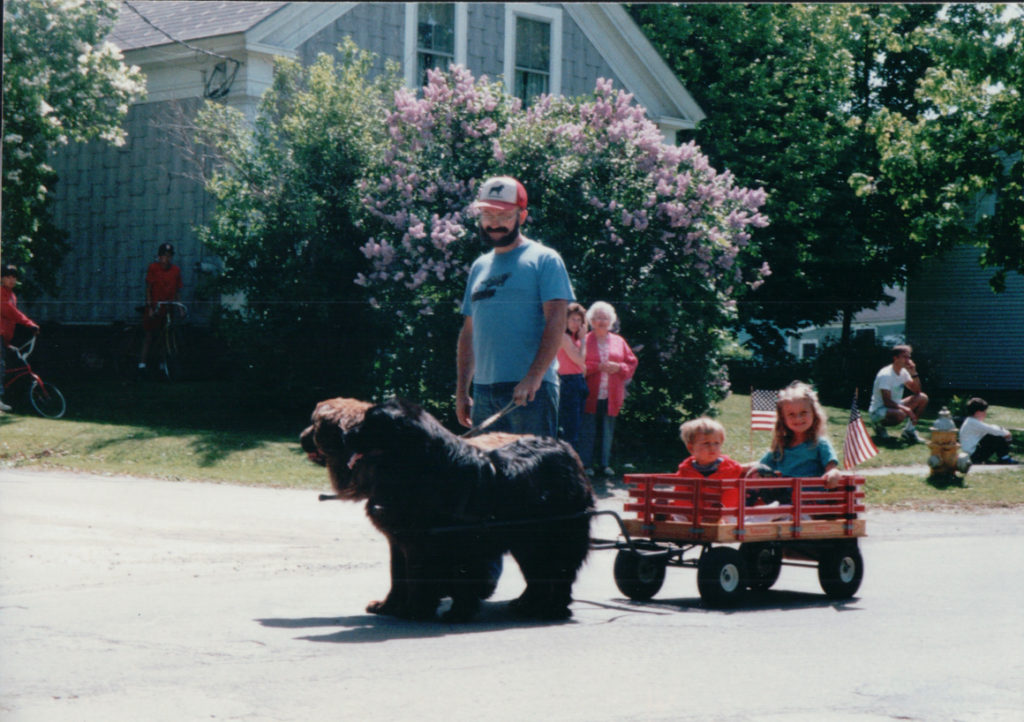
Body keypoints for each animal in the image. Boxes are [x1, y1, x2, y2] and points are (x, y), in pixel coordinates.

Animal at [299, 397, 593, 622]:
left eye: (371, 425)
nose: (346, 435)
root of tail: (567, 448)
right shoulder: (401, 539)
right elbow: (399, 575)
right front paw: (391, 607)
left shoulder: (443, 542)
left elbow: (427, 577)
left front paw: (423, 611)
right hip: (528, 540)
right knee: (538, 574)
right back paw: (529, 605)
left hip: (557, 534)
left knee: (559, 572)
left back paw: (553, 609)